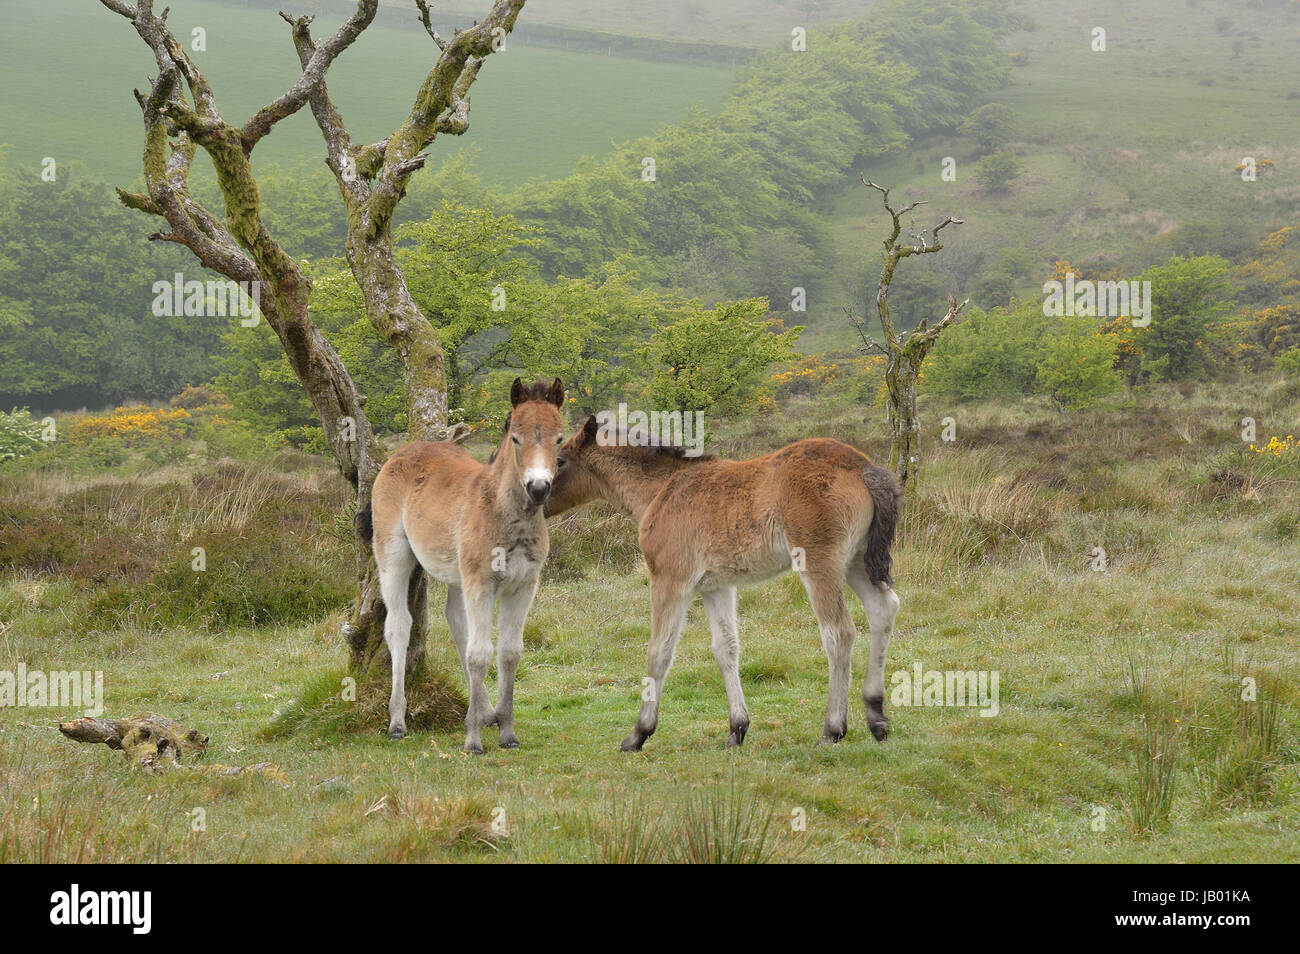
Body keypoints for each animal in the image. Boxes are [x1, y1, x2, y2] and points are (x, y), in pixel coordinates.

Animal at [366, 382, 569, 753]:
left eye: (559, 438)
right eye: (515, 438)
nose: (538, 488)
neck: (507, 517)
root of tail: (403, 452)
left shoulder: (523, 587)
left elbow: (509, 653)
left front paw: (506, 731)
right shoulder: (481, 584)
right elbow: (479, 654)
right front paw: (472, 740)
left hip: (458, 574)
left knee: (456, 620)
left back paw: (485, 710)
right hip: (393, 554)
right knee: (399, 625)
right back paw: (397, 721)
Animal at [546, 418, 904, 753]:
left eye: (560, 460)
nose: (537, 496)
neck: (662, 489)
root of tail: (863, 466)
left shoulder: (671, 580)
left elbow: (659, 653)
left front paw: (639, 733)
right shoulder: (715, 587)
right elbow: (726, 649)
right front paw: (737, 729)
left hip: (820, 563)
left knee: (838, 632)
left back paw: (833, 729)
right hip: (856, 562)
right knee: (882, 610)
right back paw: (876, 716)